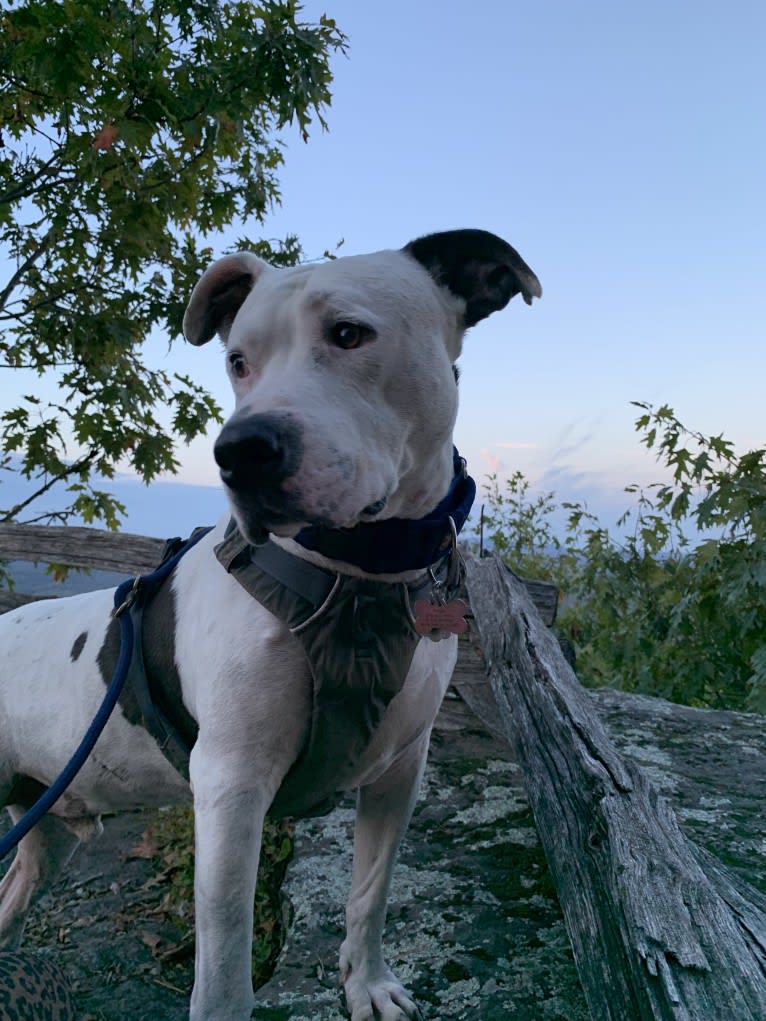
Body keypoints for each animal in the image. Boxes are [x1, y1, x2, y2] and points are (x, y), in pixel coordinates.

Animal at [0, 227, 539, 1016]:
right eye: (237, 361)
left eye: (349, 333)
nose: (239, 452)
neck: (359, 578)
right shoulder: (231, 785)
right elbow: (225, 968)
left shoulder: (400, 768)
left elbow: (371, 892)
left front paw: (367, 982)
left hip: (49, 822)